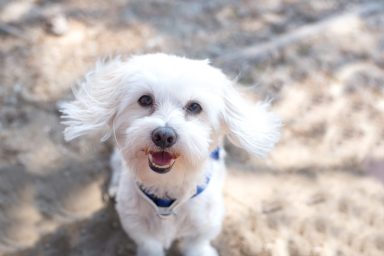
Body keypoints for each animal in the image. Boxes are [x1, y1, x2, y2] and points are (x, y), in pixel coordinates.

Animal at [60, 53, 282, 255]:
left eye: (194, 107)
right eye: (145, 99)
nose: (164, 136)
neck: (166, 192)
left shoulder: (201, 230)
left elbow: (198, 245)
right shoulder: (141, 232)